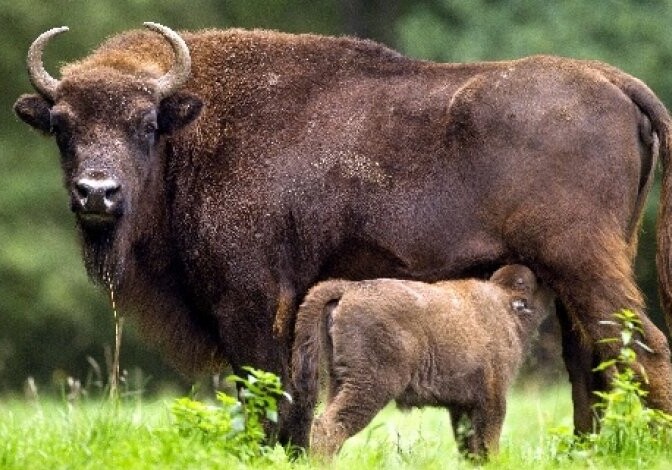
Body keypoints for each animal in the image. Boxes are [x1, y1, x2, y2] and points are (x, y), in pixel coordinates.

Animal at [292, 264, 552, 458]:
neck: (506, 305)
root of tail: (350, 288)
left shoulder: (462, 406)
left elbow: (469, 446)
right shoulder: (493, 399)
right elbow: (488, 443)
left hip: (338, 382)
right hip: (369, 387)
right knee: (329, 426)